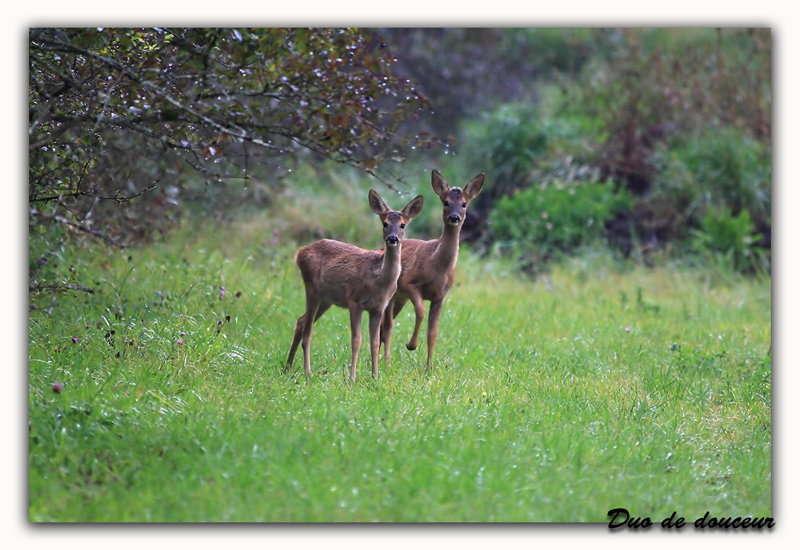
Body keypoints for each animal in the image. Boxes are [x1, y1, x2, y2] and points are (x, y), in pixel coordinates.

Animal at [286, 190, 424, 384]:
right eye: (385, 223)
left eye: (402, 225)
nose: (393, 238)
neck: (379, 279)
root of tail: (300, 252)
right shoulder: (354, 300)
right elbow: (356, 340)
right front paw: (352, 379)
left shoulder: (378, 308)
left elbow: (375, 343)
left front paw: (375, 377)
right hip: (312, 289)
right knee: (307, 329)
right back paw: (308, 372)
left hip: (326, 300)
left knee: (300, 321)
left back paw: (288, 367)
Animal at [380, 171, 484, 370]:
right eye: (446, 202)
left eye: (464, 203)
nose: (454, 217)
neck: (438, 267)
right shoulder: (409, 283)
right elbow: (420, 310)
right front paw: (411, 345)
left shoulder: (440, 297)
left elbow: (433, 332)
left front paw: (429, 368)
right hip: (393, 292)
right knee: (387, 324)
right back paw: (385, 361)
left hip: (399, 299)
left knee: (385, 324)